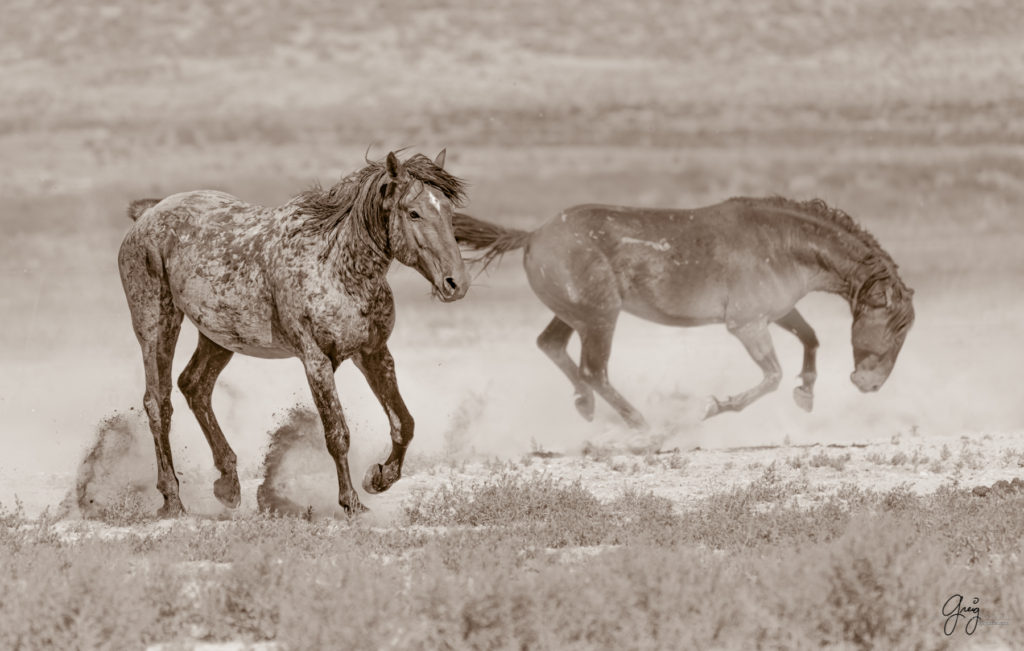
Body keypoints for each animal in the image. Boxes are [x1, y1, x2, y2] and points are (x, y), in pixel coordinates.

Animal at [119, 150, 468, 515]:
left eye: (448, 210)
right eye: (413, 212)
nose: (456, 283)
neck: (336, 268)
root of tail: (147, 215)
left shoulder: (374, 354)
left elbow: (404, 423)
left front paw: (378, 478)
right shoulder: (316, 361)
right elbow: (337, 433)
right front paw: (351, 503)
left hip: (219, 337)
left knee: (195, 387)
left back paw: (228, 484)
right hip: (156, 325)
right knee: (158, 402)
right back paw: (172, 498)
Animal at [452, 195, 917, 429]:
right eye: (897, 329)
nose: (870, 384)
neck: (781, 243)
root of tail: (533, 236)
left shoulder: (777, 312)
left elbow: (810, 339)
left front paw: (805, 395)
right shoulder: (747, 325)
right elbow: (771, 376)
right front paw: (712, 408)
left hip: (575, 315)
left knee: (551, 346)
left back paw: (585, 406)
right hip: (600, 318)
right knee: (594, 370)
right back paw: (641, 425)